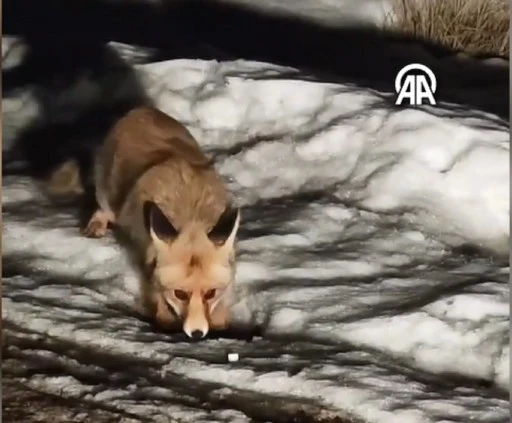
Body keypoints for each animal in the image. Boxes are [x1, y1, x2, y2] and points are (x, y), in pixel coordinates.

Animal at [81, 106, 241, 342]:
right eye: (180, 294)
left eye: (210, 293)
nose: (197, 334)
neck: (191, 215)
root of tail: (141, 110)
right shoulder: (148, 260)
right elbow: (160, 300)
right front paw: (166, 325)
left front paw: (220, 327)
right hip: (108, 196)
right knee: (103, 210)